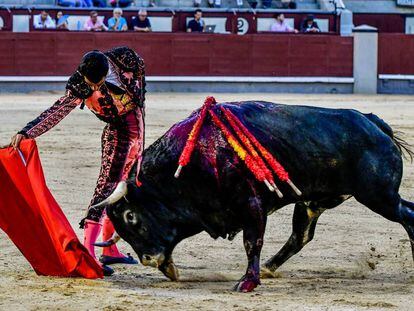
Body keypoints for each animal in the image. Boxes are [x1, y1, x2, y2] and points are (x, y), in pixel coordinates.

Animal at [102, 102, 412, 292]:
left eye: (131, 216)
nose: (148, 259)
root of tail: (373, 122)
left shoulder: (250, 204)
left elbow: (252, 241)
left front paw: (247, 282)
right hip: (313, 203)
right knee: (300, 236)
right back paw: (270, 267)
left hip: (378, 196)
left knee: (408, 214)